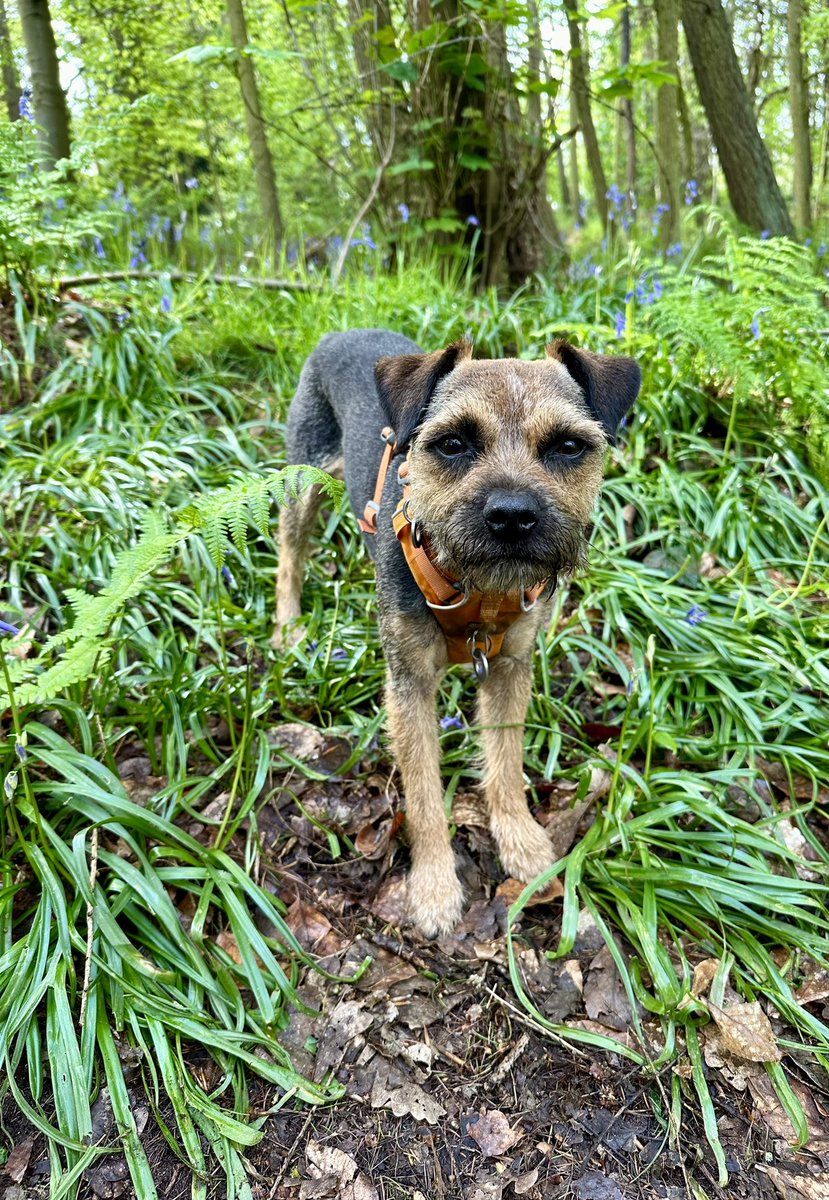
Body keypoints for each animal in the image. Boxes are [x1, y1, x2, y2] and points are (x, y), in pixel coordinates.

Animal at [275, 328, 638, 936]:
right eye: (452, 444)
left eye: (568, 446)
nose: (512, 515)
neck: (477, 590)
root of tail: (340, 331)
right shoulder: (411, 689)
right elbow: (423, 796)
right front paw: (435, 888)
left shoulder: (510, 669)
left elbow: (506, 760)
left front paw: (520, 841)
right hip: (302, 481)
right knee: (289, 554)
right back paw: (286, 623)